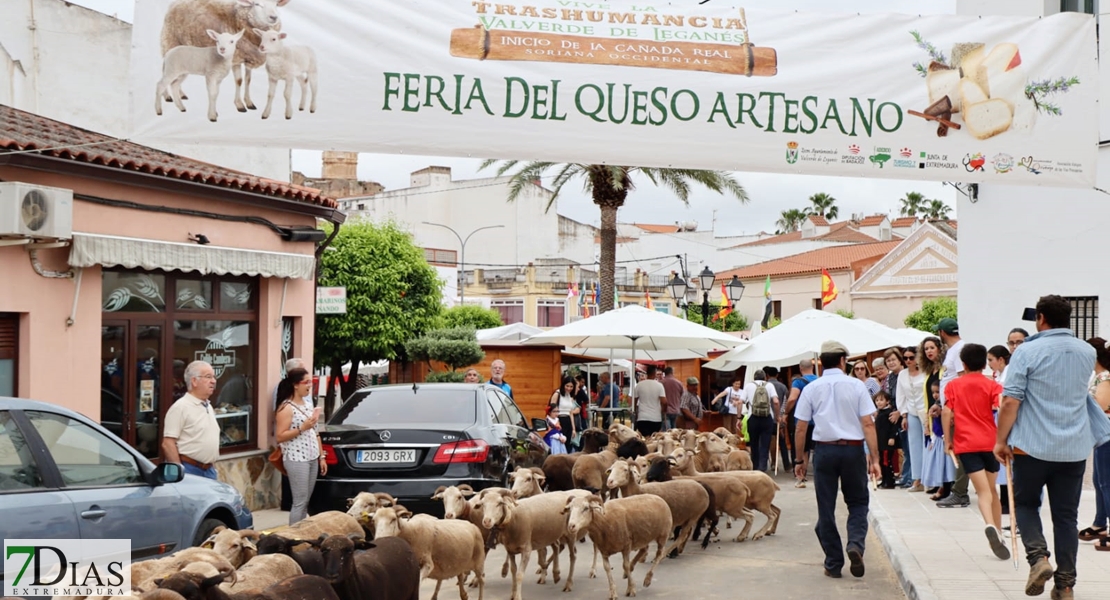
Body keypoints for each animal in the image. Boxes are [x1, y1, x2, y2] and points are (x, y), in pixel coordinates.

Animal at [162, 0, 293, 110]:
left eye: (276, 4)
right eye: (257, 4)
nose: (274, 17)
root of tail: (175, 3)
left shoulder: (248, 59)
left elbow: (248, 80)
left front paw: (249, 103)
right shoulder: (236, 58)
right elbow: (239, 81)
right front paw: (240, 105)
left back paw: (180, 94)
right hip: (170, 41)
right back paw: (167, 96)